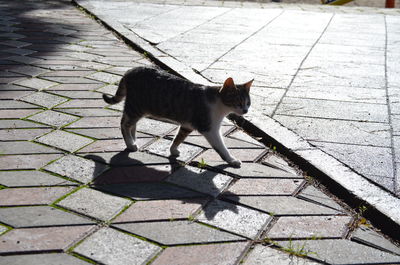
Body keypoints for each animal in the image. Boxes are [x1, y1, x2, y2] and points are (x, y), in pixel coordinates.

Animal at [103, 65, 253, 167]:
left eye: (248, 103)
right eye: (239, 102)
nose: (245, 111)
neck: (219, 104)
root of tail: (131, 70)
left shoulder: (187, 125)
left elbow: (179, 137)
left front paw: (173, 150)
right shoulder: (209, 128)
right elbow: (221, 147)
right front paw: (231, 160)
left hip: (136, 108)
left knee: (130, 123)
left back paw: (133, 140)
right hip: (136, 106)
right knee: (124, 124)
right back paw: (130, 143)